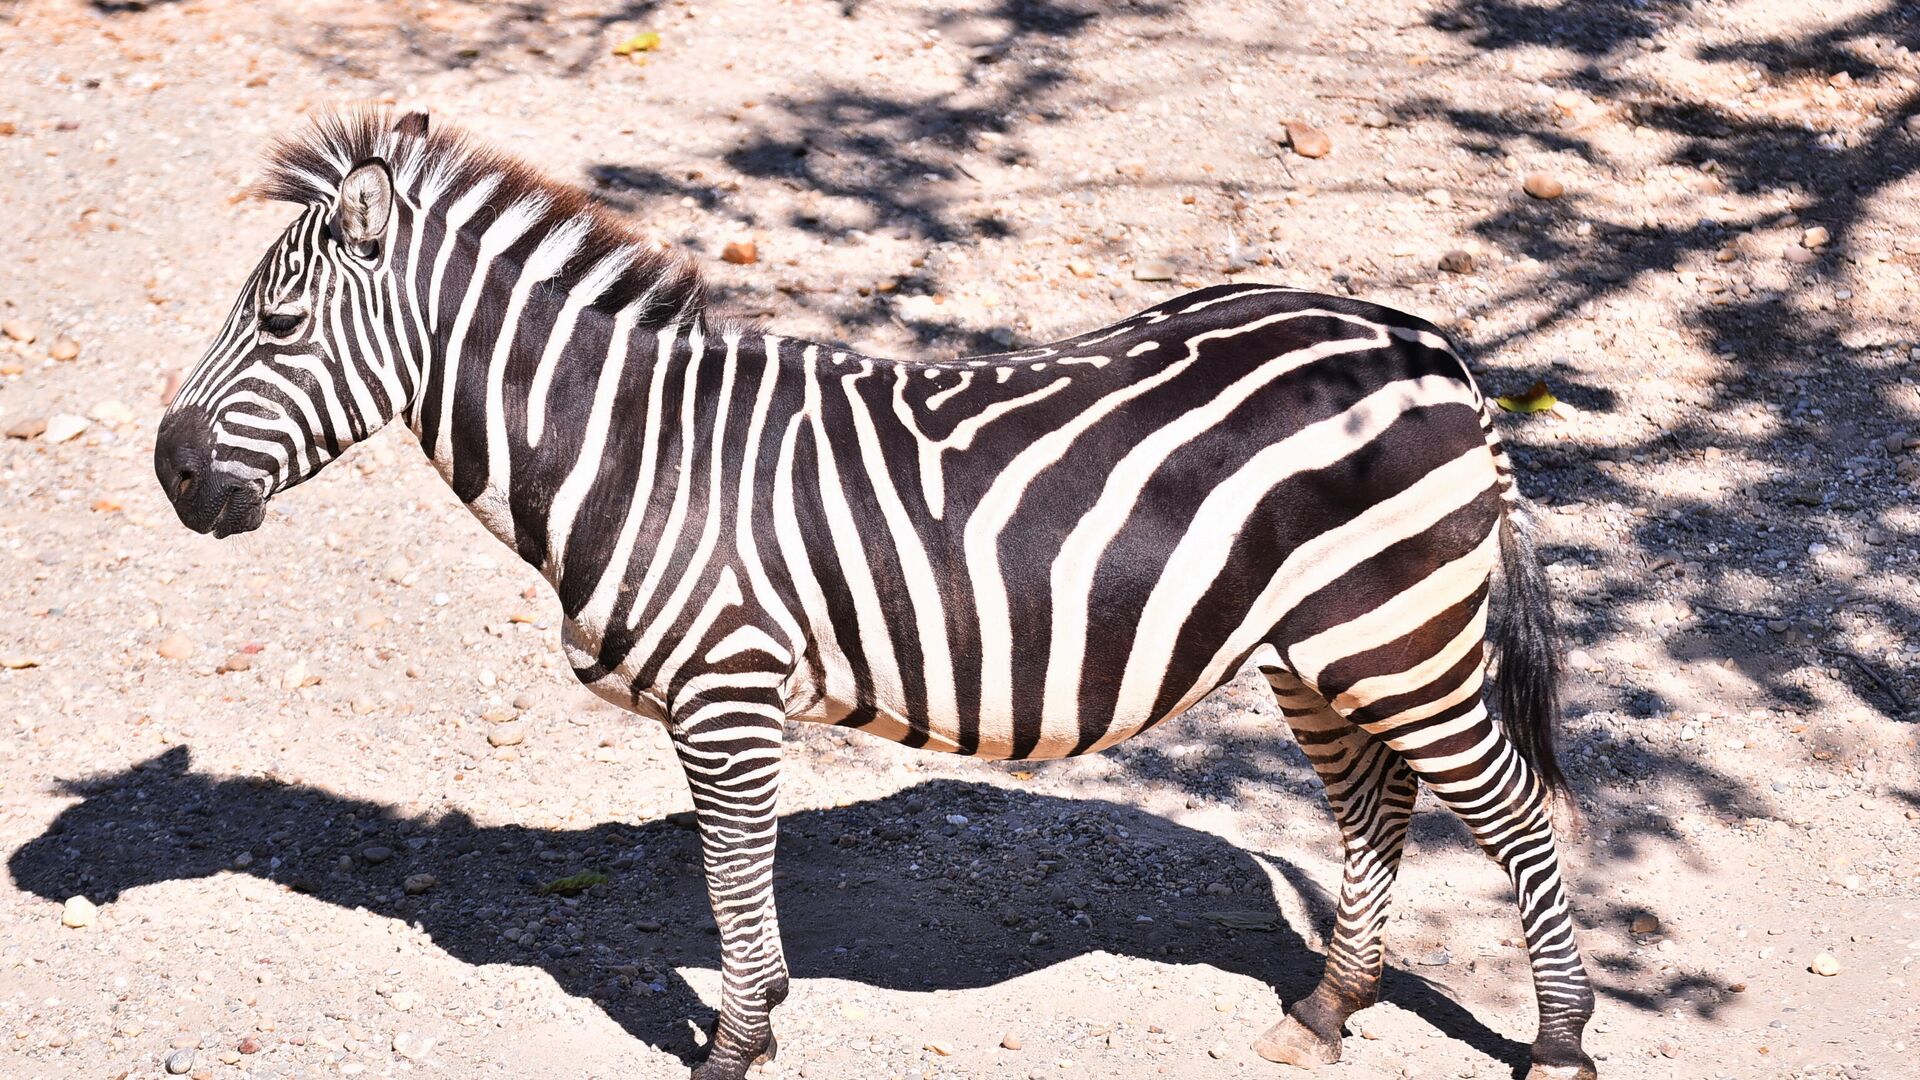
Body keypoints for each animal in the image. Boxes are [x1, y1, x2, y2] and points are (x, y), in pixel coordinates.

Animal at [154, 109, 1597, 1080]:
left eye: (278, 327)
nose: (168, 472)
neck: (635, 450)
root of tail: (1428, 346)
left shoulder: (727, 694)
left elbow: (732, 882)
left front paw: (734, 1046)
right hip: (1324, 648)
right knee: (1376, 806)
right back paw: (1330, 1006)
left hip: (1399, 639)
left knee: (1520, 819)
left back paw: (1561, 1042)